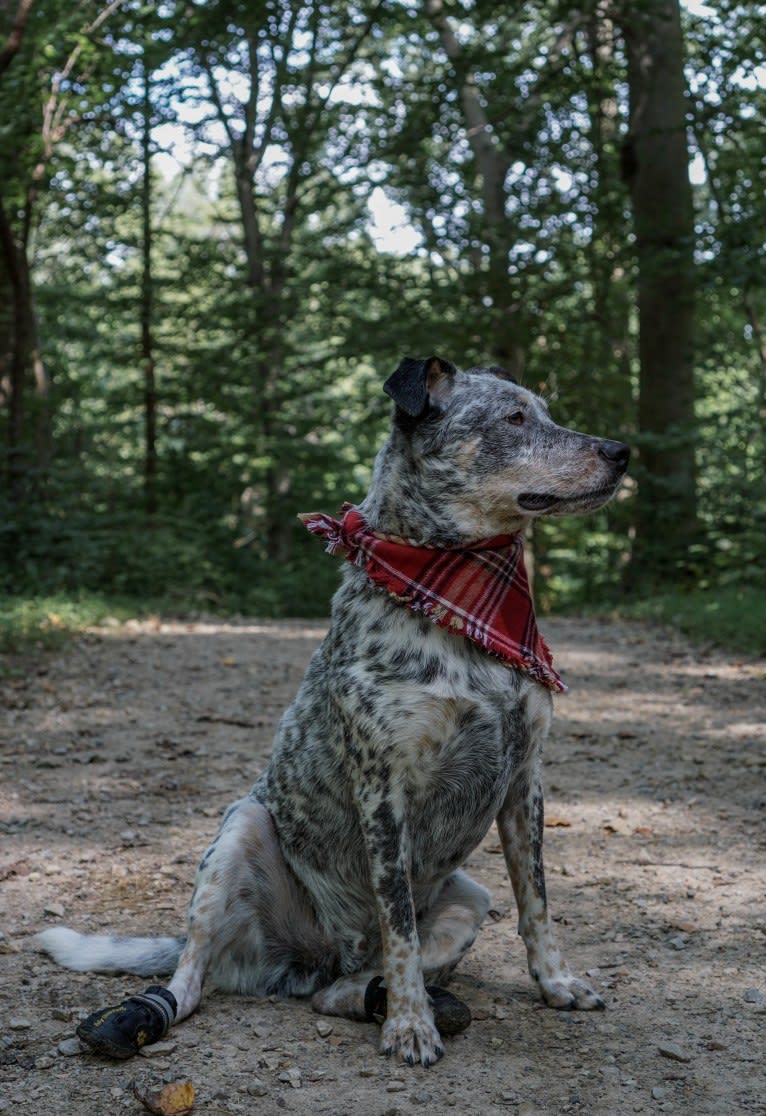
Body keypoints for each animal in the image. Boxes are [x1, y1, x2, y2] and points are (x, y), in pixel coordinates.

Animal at [37, 361, 629, 1066]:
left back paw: (381, 997)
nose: (621, 451)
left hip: (467, 899)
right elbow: (399, 923)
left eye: (546, 412)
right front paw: (410, 1026)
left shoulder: (524, 780)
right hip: (238, 833)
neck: (461, 608)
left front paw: (556, 983)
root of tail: (320, 956)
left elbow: (535, 900)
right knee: (193, 978)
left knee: (343, 988)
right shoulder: (384, 788)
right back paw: (145, 1015)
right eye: (513, 418)